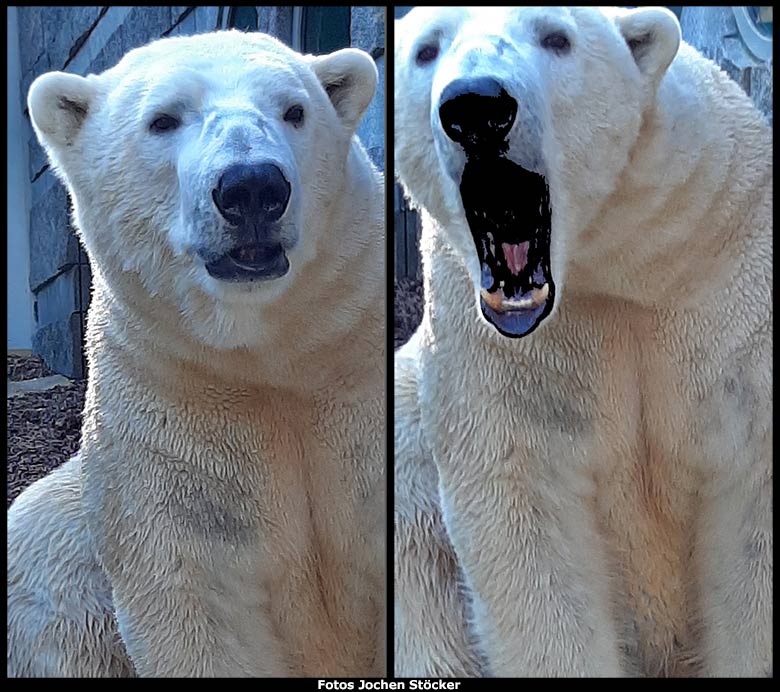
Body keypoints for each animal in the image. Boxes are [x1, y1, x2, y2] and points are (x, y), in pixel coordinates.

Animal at [6, 31, 384, 676]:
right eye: (163, 119)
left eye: (295, 110)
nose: (253, 188)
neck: (271, 355)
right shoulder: (170, 416)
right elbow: (196, 603)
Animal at [396, 4, 772, 676]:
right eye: (426, 50)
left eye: (556, 37)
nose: (476, 108)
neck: (615, 262)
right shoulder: (492, 344)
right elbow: (526, 520)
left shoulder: (731, 290)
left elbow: (751, 505)